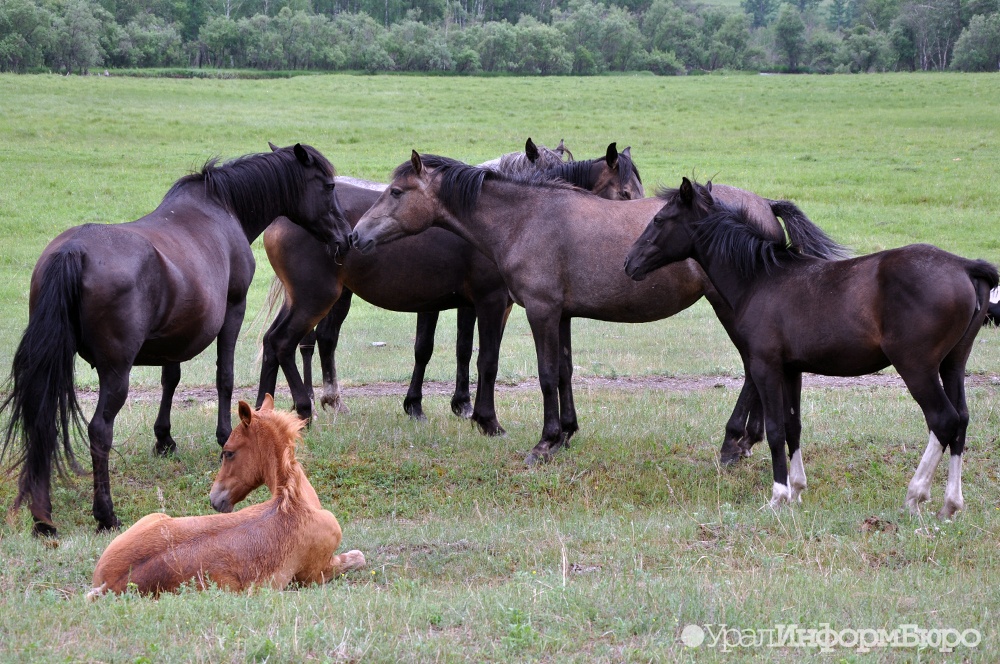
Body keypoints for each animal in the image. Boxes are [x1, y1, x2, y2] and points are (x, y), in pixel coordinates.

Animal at [0, 143, 352, 536]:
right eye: (328, 186)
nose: (346, 236)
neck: (220, 207)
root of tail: (73, 251)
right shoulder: (233, 310)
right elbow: (224, 377)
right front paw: (224, 435)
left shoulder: (176, 333)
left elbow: (171, 379)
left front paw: (164, 438)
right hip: (116, 372)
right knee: (99, 431)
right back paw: (105, 513)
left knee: (42, 423)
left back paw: (42, 517)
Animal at [88, 394, 366, 596]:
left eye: (229, 452)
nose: (215, 498)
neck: (293, 501)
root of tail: (108, 586)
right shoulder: (315, 574)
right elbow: (358, 557)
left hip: (154, 516)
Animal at [258, 141, 644, 436]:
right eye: (625, 193)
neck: (507, 221)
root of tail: (283, 216)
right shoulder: (489, 301)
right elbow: (484, 358)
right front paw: (485, 420)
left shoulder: (474, 303)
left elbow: (463, 350)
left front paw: (459, 405)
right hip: (319, 298)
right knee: (294, 342)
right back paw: (308, 406)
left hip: (313, 298)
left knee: (280, 342)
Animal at [348, 154, 832, 466]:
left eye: (395, 192)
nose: (356, 236)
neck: (525, 219)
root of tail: (764, 206)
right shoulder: (561, 314)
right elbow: (563, 372)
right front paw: (566, 433)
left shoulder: (540, 310)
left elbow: (545, 374)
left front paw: (544, 444)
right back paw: (746, 439)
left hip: (727, 307)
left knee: (752, 370)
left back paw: (734, 442)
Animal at [620, 178, 996, 520]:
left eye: (659, 220)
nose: (628, 264)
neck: (761, 279)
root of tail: (964, 265)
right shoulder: (792, 370)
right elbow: (793, 426)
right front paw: (798, 489)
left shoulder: (765, 367)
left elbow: (774, 430)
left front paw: (778, 496)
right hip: (952, 364)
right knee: (961, 421)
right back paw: (951, 504)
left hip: (916, 367)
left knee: (943, 421)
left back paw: (915, 495)